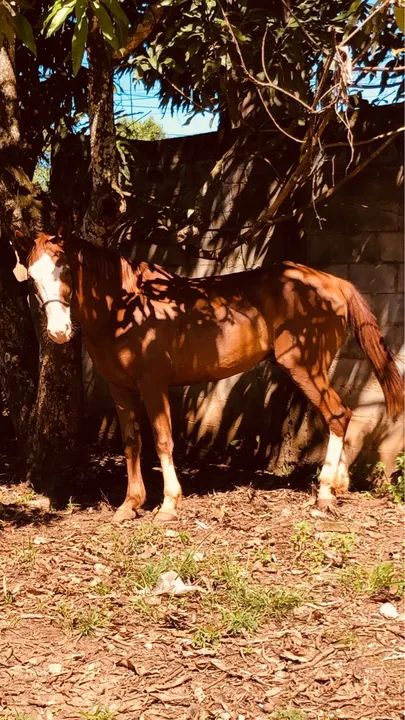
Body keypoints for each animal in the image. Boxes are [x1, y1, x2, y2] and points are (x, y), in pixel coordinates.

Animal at [26, 231, 403, 522]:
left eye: (64, 267)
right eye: (31, 277)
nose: (59, 332)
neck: (126, 307)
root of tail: (334, 283)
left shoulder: (153, 385)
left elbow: (162, 440)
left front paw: (168, 505)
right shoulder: (119, 387)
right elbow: (132, 442)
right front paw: (129, 505)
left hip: (304, 366)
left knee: (337, 414)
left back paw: (325, 491)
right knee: (341, 415)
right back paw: (339, 485)